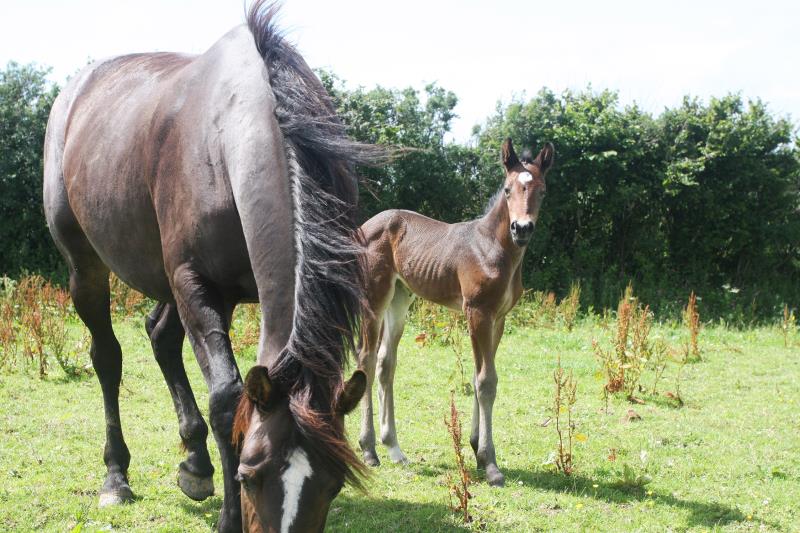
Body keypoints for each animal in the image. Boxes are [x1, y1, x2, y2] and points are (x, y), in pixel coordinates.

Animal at [43, 2, 378, 528]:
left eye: (334, 484)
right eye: (249, 474)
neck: (224, 138)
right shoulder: (194, 281)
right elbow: (226, 399)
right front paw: (229, 518)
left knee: (160, 337)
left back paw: (195, 465)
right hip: (87, 267)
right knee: (108, 358)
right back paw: (116, 477)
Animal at [358, 138, 552, 486]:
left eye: (542, 191)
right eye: (507, 190)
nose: (522, 228)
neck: (494, 249)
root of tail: (364, 227)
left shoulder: (498, 318)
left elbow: (481, 377)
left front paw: (476, 448)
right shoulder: (477, 312)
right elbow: (485, 381)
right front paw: (490, 463)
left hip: (400, 300)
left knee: (385, 363)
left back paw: (394, 448)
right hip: (374, 299)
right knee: (365, 360)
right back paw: (369, 450)